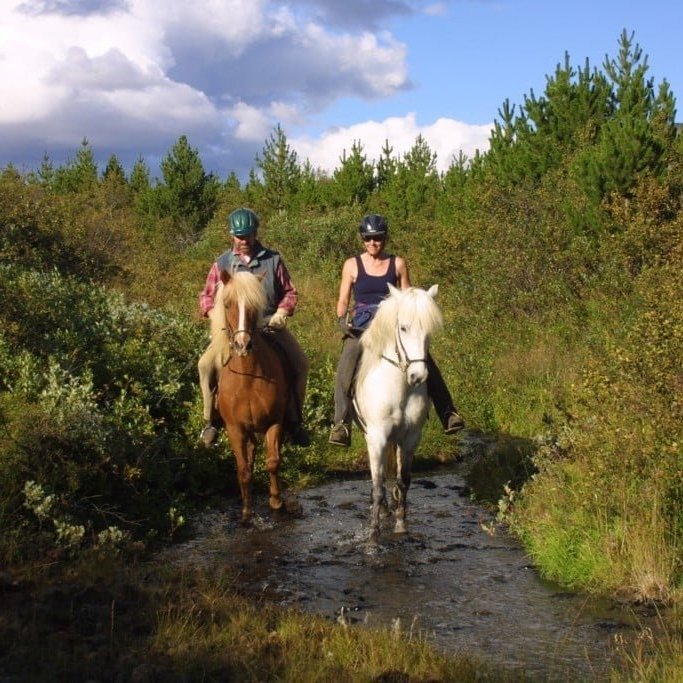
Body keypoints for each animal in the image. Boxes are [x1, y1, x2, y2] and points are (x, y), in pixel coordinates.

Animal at [209, 269, 288, 524]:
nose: (243, 345)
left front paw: (276, 501)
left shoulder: (274, 422)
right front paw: (246, 513)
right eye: (227, 304)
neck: (248, 378)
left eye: (255, 306)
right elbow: (243, 471)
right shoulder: (235, 429)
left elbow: (273, 462)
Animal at [353, 283, 442, 544]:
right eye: (403, 327)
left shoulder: (411, 437)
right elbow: (377, 484)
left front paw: (401, 525)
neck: (399, 387)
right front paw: (373, 533)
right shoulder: (377, 437)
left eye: (429, 331)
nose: (418, 376)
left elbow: (403, 481)